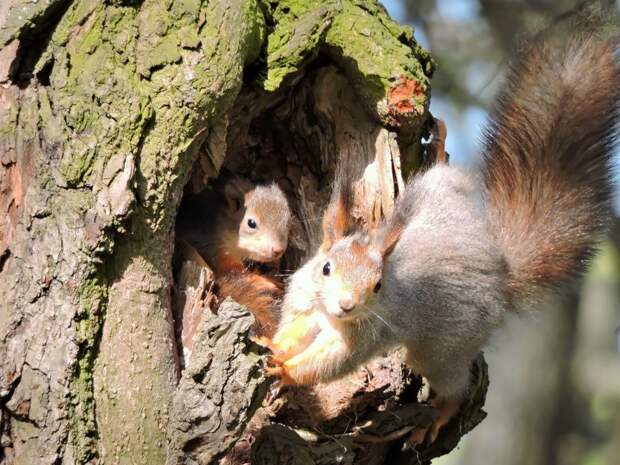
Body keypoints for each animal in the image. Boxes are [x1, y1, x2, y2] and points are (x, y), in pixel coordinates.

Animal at [266, 33, 620, 442]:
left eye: (377, 286)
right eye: (326, 268)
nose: (347, 305)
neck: (328, 314)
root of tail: (500, 272)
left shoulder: (361, 336)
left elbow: (328, 363)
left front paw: (285, 371)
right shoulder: (306, 304)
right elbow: (294, 333)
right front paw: (274, 346)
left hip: (441, 349)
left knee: (455, 387)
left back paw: (437, 418)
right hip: (439, 190)